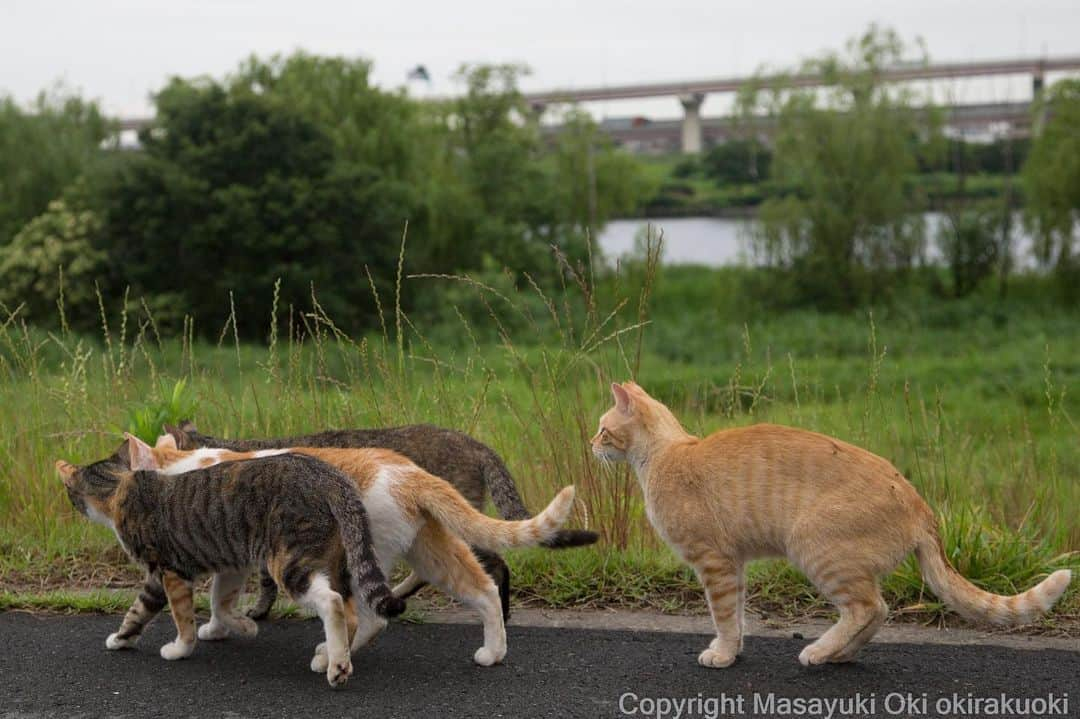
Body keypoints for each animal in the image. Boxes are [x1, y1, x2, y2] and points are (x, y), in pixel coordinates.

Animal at [53, 433, 406, 686]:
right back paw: (329, 658)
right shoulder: (230, 564)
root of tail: (329, 476)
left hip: (289, 561)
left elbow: (172, 616)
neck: (121, 485)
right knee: (352, 612)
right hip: (336, 560)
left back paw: (336, 667)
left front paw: (172, 648)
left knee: (332, 603)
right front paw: (237, 627)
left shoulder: (168, 570)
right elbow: (211, 604)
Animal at [130, 431, 578, 665]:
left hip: (360, 557)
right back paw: (493, 651)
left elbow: (219, 598)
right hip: (428, 550)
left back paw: (329, 655)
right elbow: (220, 599)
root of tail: (412, 473)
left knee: (369, 616)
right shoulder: (231, 559)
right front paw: (220, 628)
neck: (183, 466)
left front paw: (220, 628)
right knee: (483, 589)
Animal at [591, 380, 1071, 665]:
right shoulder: (734, 565)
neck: (664, 454)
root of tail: (920, 504)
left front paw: (723, 654)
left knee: (868, 607)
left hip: (816, 550)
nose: (589, 444)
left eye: (602, 429)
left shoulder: (715, 563)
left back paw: (819, 651)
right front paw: (734, 648)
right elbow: (739, 615)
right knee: (878, 612)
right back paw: (837, 654)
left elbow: (724, 615)